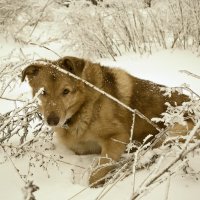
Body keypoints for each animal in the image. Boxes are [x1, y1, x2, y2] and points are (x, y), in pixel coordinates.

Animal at [21, 55, 191, 186]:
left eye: (66, 91)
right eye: (43, 92)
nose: (52, 121)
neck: (84, 106)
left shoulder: (117, 137)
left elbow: (97, 172)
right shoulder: (81, 148)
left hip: (174, 130)